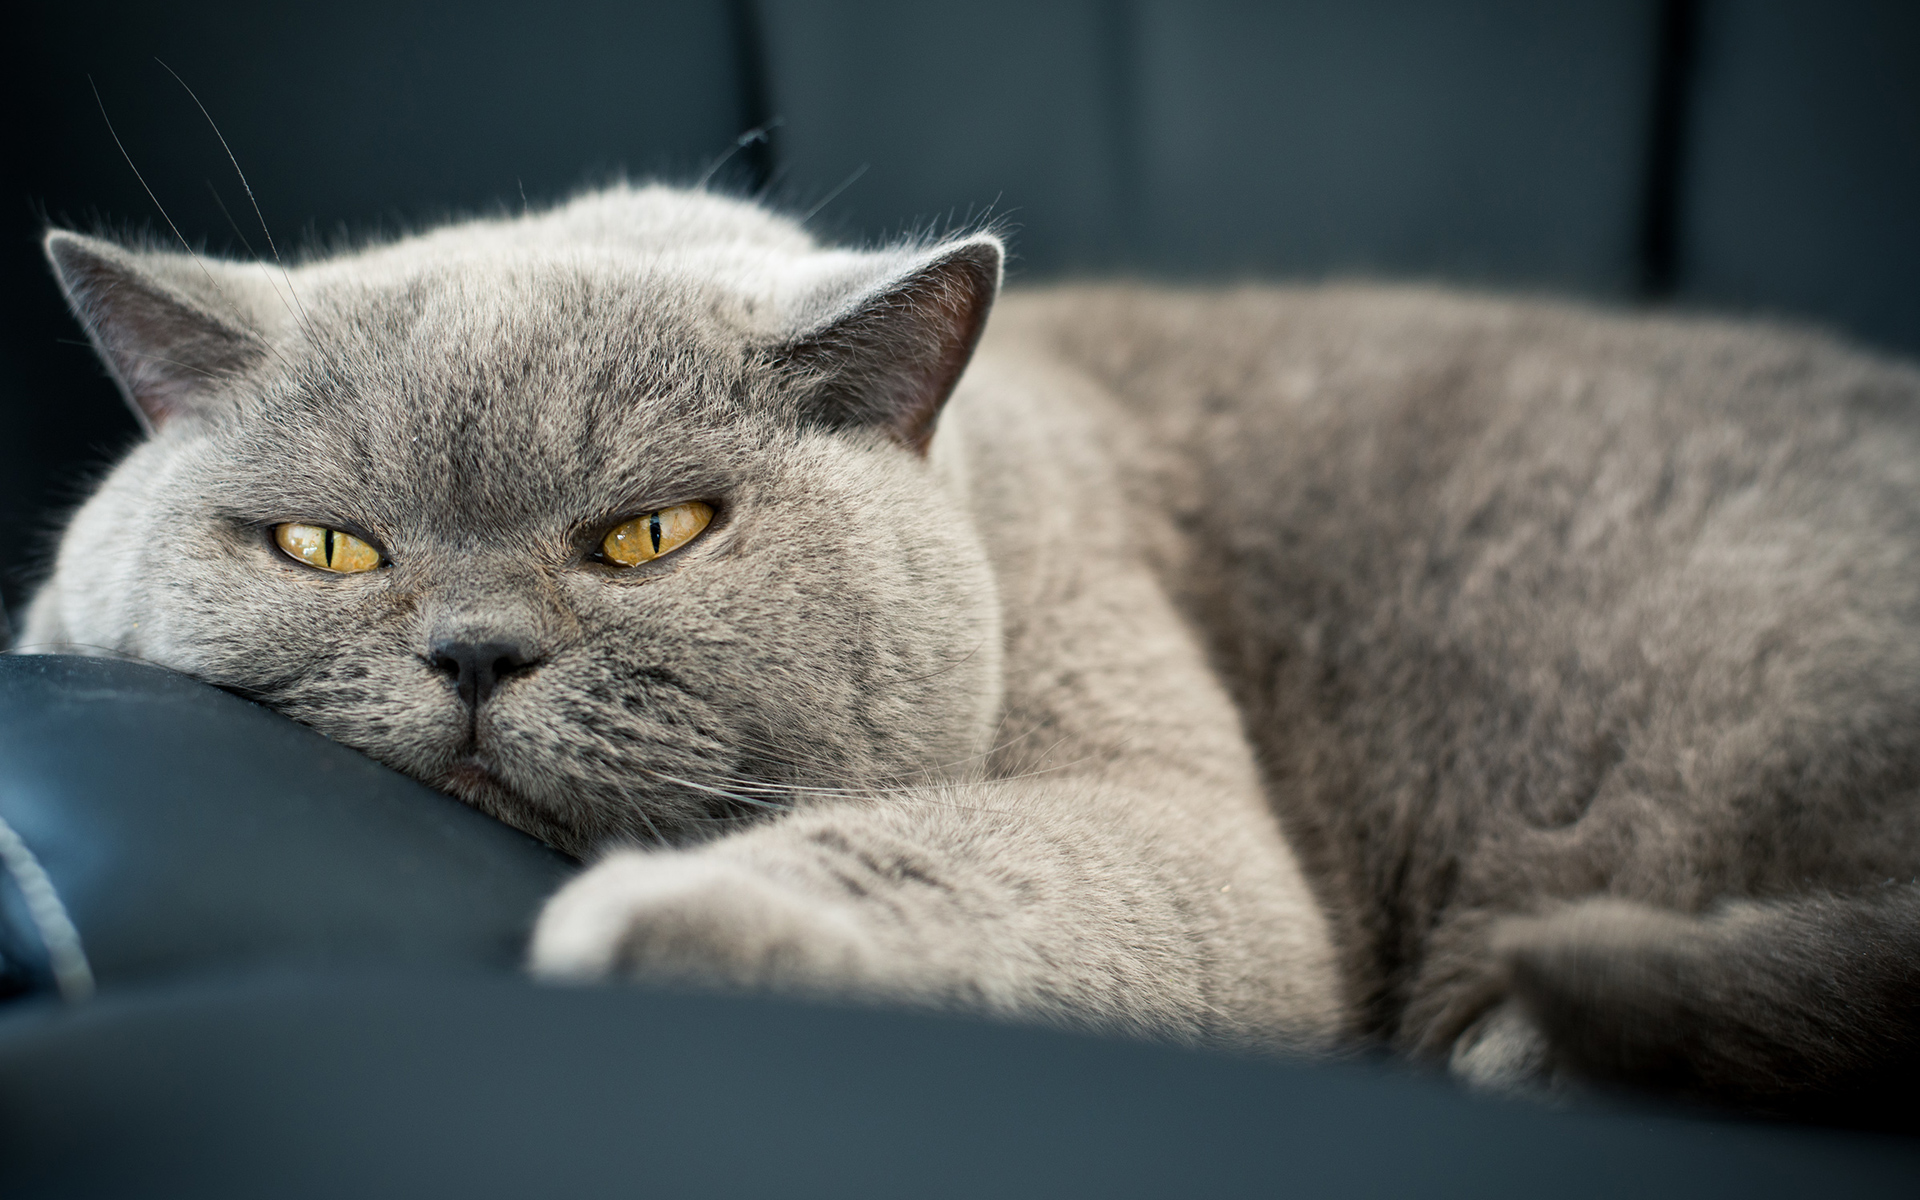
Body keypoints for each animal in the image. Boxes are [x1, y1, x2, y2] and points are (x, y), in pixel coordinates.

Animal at [22, 182, 1920, 1121]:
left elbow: (951, 858)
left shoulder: (1180, 814)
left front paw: (659, 923)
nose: (475, 653)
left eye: (653, 535)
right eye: (329, 547)